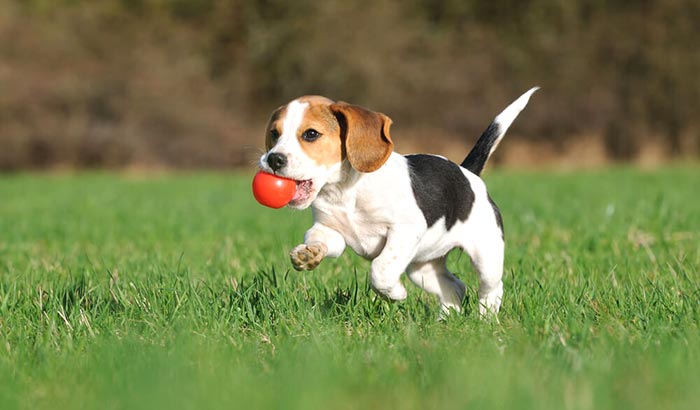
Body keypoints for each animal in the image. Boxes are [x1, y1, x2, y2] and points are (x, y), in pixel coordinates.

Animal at [260, 88, 540, 316]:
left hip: (486, 256)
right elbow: (319, 239)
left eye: (311, 134)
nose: (273, 159)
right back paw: (444, 322)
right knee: (455, 288)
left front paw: (395, 294)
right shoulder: (330, 231)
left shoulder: (405, 230)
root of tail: (467, 173)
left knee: (491, 289)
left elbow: (380, 269)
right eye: (274, 134)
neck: (345, 191)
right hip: (422, 267)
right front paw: (308, 254)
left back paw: (486, 320)